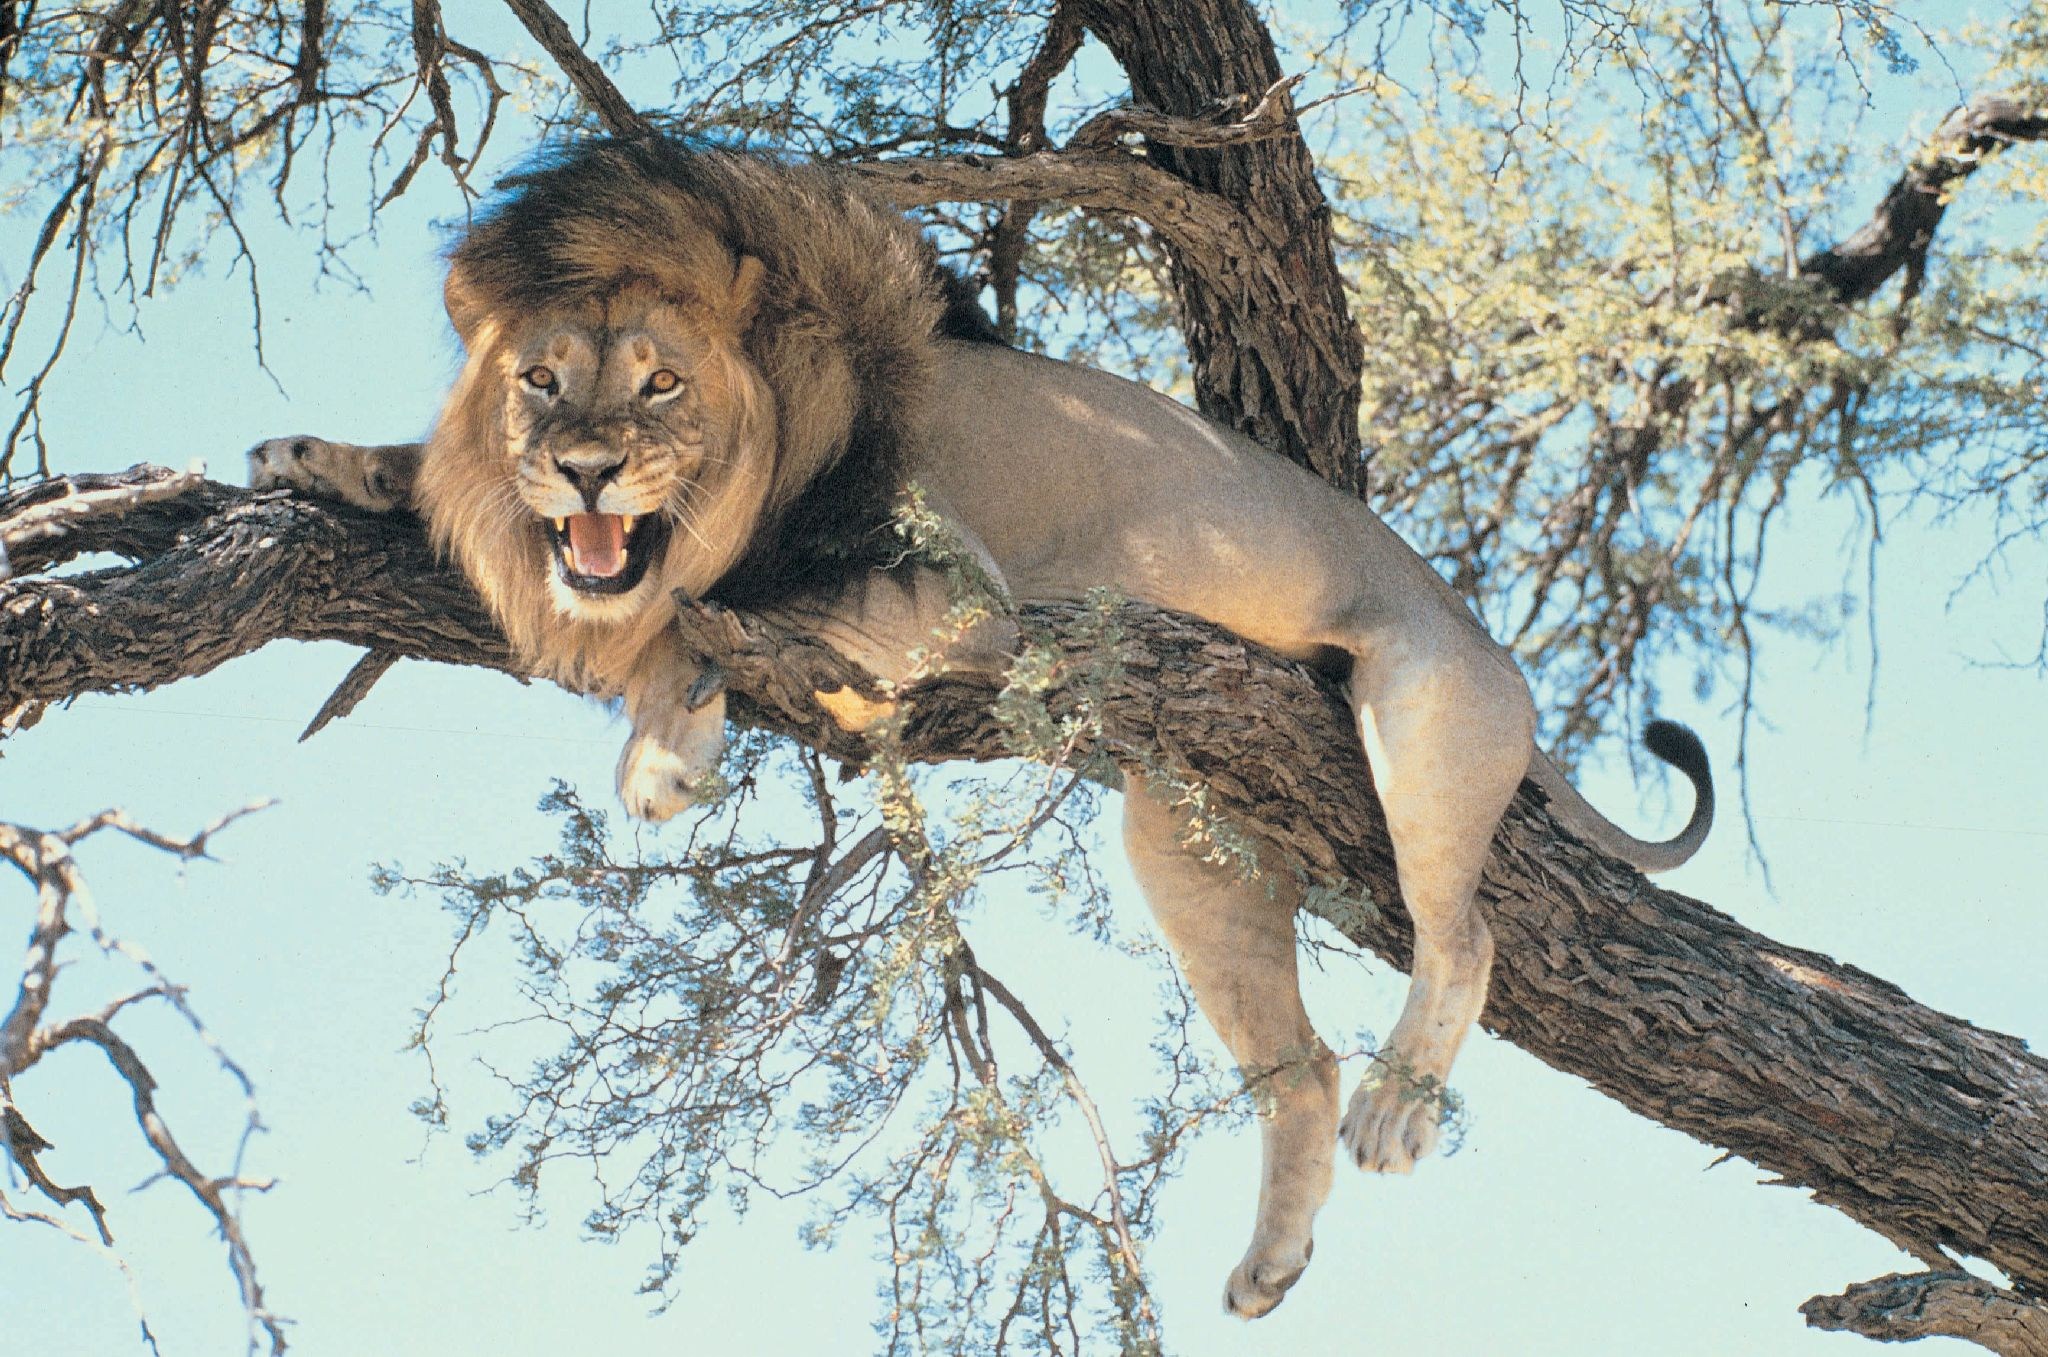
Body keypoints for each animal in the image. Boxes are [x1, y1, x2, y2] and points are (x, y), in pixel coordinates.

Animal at [260, 143, 1728, 1318]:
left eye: (659, 385)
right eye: (542, 383)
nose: (583, 471)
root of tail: (1483, 632)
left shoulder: (954, 595)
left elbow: (700, 613)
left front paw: (666, 752)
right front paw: (325, 459)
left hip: (1416, 714)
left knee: (1460, 934)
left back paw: (1393, 1112)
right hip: (1184, 836)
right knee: (1294, 1063)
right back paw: (1270, 1262)